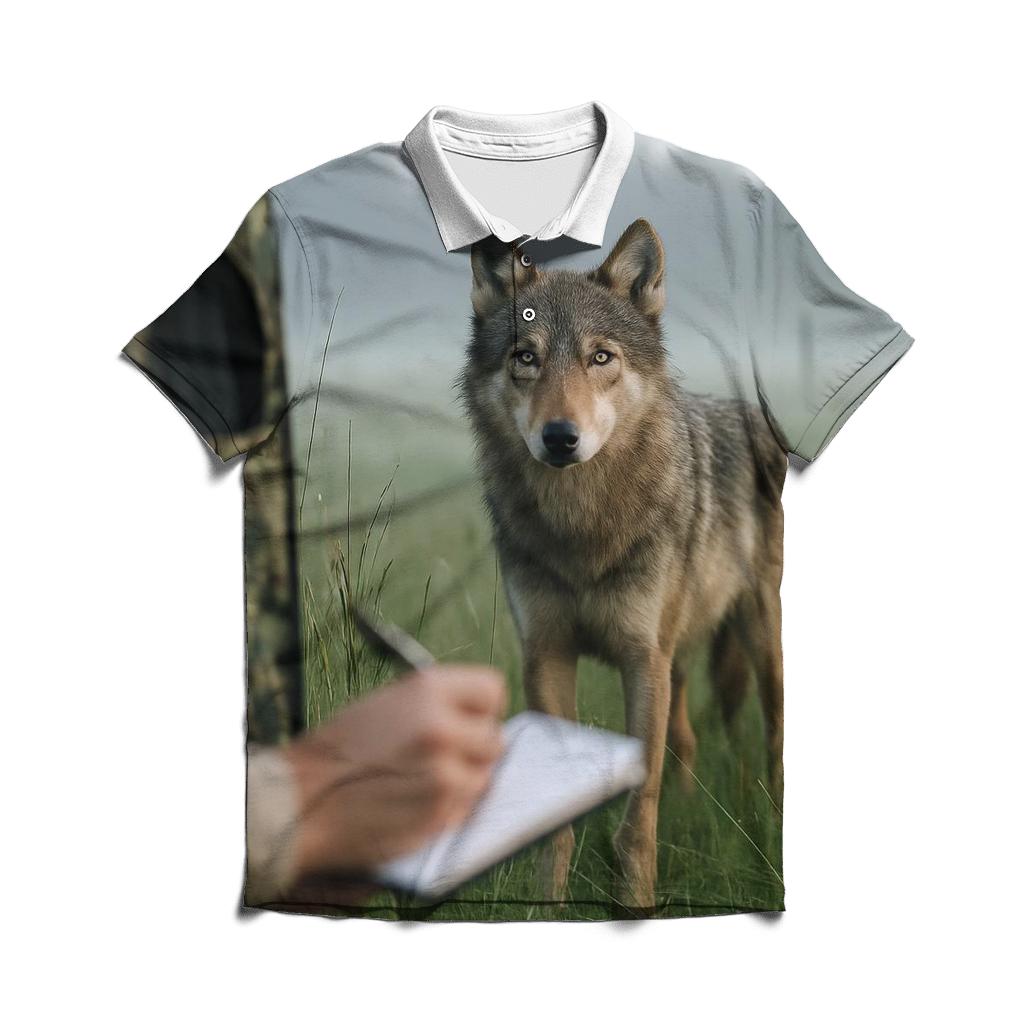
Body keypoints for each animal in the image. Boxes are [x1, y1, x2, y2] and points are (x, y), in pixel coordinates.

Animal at [460, 219, 787, 909]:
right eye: (525, 357)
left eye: (600, 358)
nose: (560, 437)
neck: (584, 528)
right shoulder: (548, 656)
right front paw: (547, 904)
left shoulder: (643, 661)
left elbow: (639, 815)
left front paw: (635, 903)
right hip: (679, 655)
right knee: (687, 738)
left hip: (754, 638)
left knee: (774, 735)